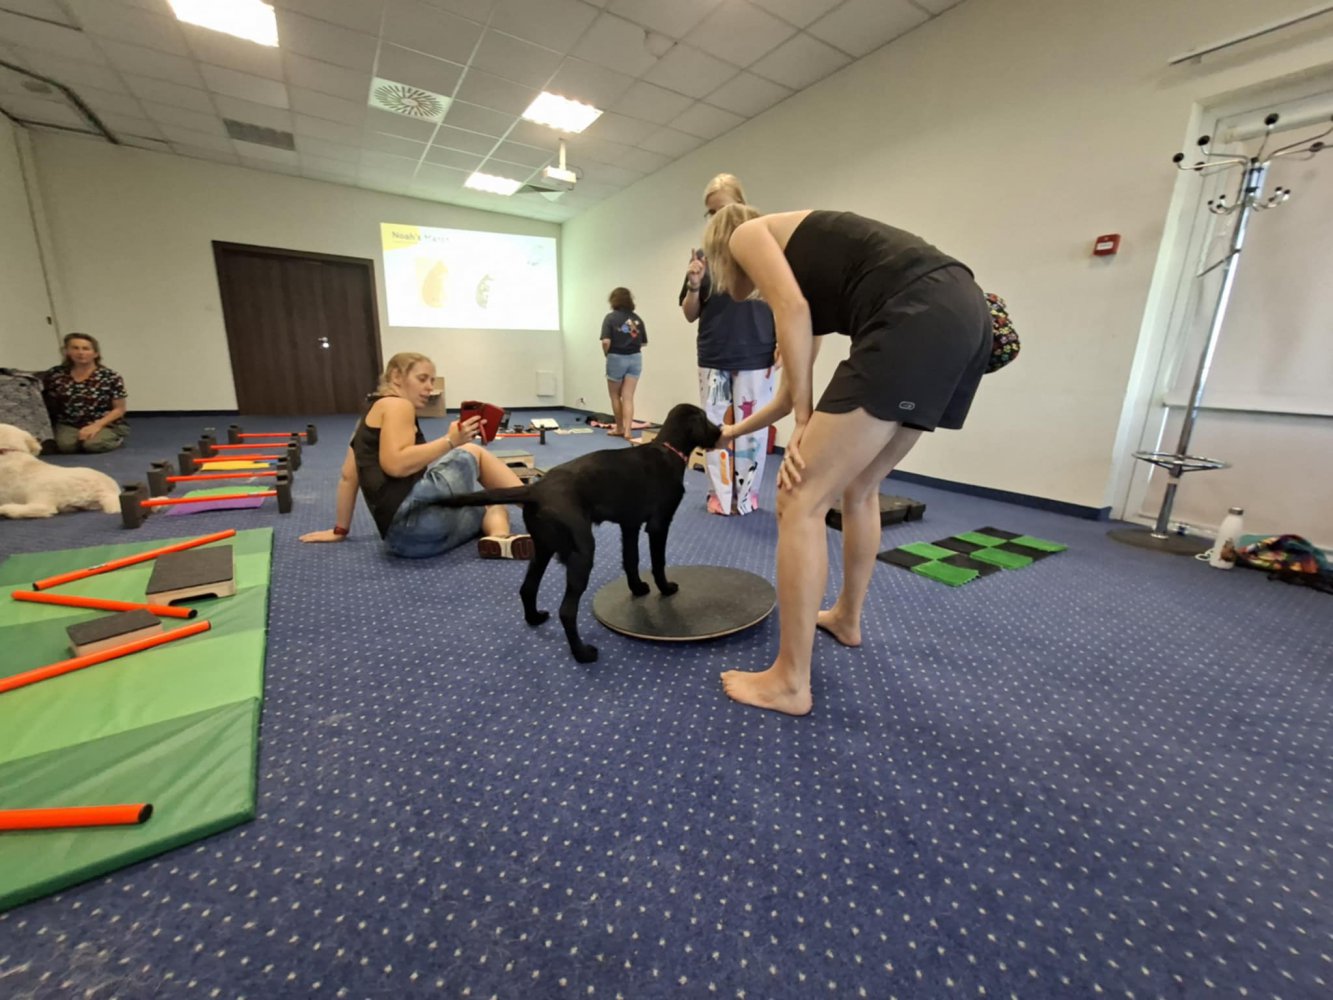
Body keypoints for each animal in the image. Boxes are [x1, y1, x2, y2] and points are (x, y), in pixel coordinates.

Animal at [438, 403, 721, 662]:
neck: (668, 448)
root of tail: (535, 490)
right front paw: (665, 588)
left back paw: (535, 618)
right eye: (706, 419)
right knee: (566, 611)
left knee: (527, 588)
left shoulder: (629, 525)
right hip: (582, 551)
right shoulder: (659, 524)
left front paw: (638, 588)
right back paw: (582, 653)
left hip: (542, 548)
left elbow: (631, 560)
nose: (720, 430)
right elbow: (658, 562)